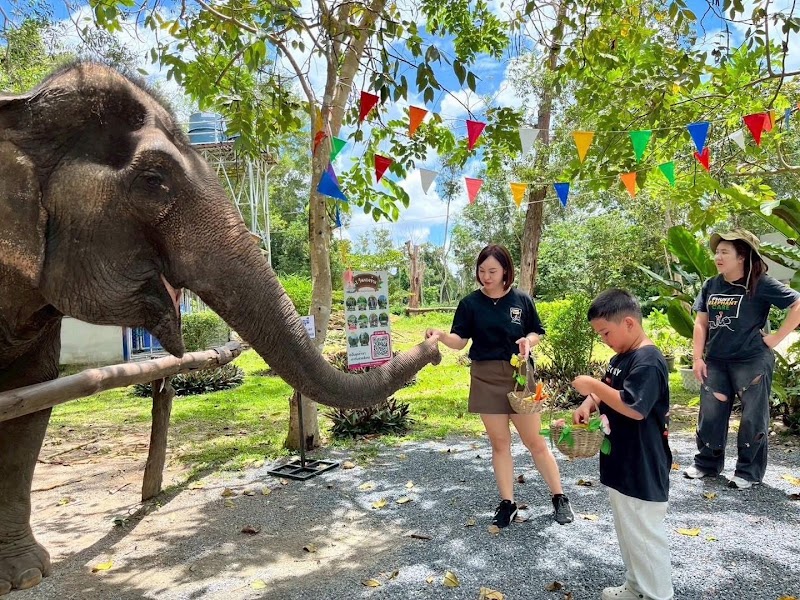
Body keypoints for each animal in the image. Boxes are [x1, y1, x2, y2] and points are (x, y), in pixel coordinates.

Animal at [0, 62, 441, 595]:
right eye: (153, 180)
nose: (435, 342)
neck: (22, 106)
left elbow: (31, 402)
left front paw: (25, 574)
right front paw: (24, 575)